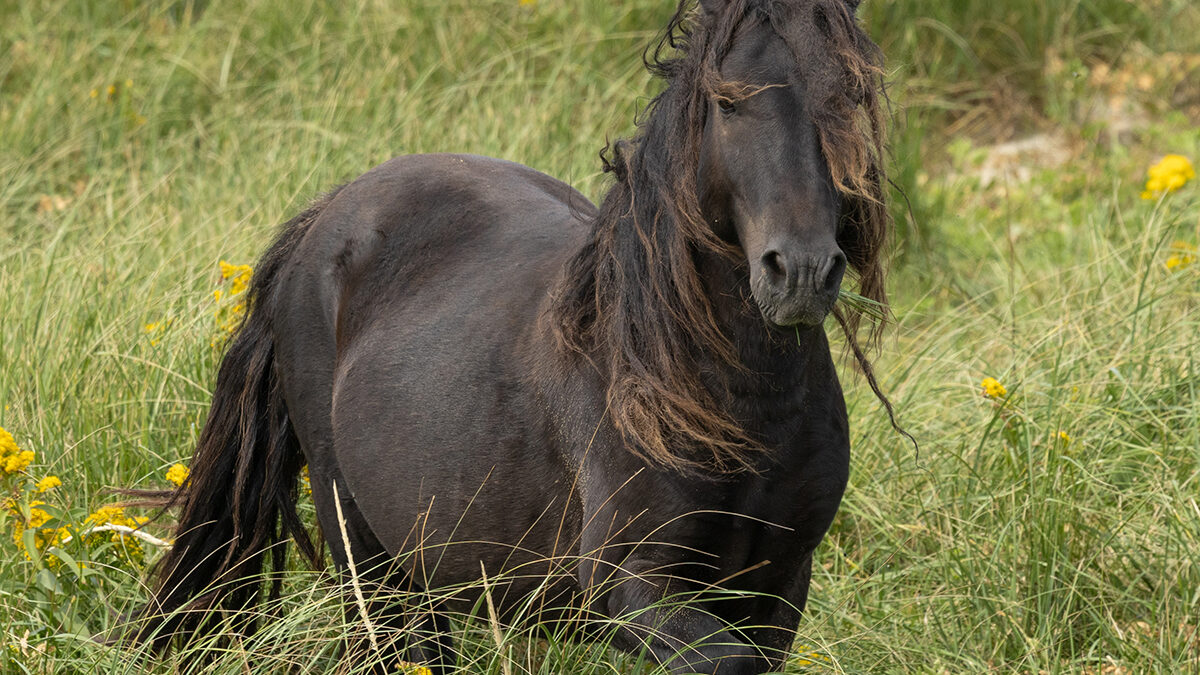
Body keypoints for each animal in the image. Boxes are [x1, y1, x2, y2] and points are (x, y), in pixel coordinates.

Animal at [136, 0, 897, 667]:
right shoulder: (634, 587)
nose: (801, 271)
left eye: (851, 97)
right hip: (362, 548)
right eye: (729, 101)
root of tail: (330, 213)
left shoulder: (778, 589)